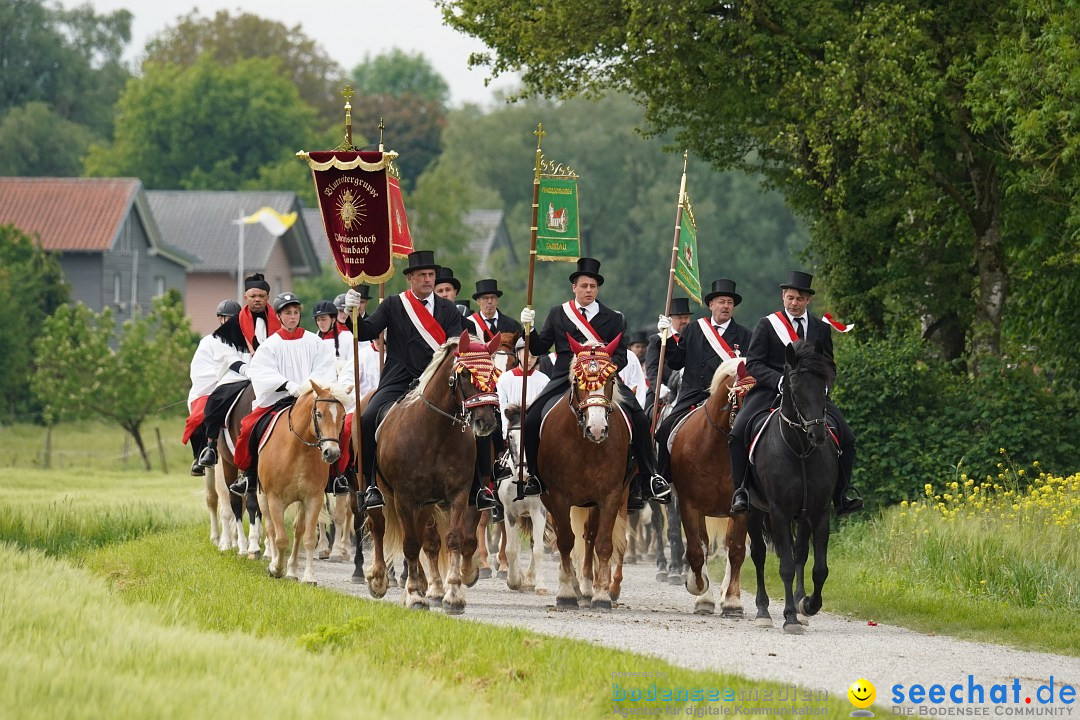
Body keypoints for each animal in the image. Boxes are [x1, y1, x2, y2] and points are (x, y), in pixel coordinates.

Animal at [253, 379, 345, 582]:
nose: (332, 453)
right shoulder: (275, 498)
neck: (298, 451)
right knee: (271, 528)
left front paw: (308, 576)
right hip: (263, 497)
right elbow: (280, 538)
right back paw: (272, 561)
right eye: (319, 414)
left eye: (343, 417)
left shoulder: (312, 498)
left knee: (298, 530)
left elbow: (308, 538)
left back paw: (293, 570)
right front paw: (276, 568)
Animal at [360, 332, 498, 613]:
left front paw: (454, 593)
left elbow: (454, 539)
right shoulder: (404, 497)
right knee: (378, 527)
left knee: (427, 538)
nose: (487, 422)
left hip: (425, 504)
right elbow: (410, 544)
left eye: (493, 373)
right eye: (465, 374)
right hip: (381, 494)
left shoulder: (458, 494)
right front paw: (414, 595)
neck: (436, 432)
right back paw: (379, 579)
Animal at [537, 334, 630, 613]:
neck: (586, 446)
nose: (597, 429)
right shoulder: (557, 496)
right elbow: (566, 541)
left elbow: (603, 542)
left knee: (589, 536)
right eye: (579, 381)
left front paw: (600, 595)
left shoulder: (610, 495)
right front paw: (566, 592)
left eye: (611, 380)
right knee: (566, 536)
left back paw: (588, 588)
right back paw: (576, 586)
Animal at [665, 354, 751, 613]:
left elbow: (736, 550)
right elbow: (696, 549)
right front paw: (699, 591)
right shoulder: (690, 506)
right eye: (743, 396)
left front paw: (732, 601)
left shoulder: (741, 509)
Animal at [747, 341, 838, 634]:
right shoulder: (778, 513)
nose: (818, 435)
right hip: (752, 511)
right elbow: (785, 566)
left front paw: (808, 605)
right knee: (759, 555)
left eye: (823, 387)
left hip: (802, 516)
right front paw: (789, 617)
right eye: (795, 389)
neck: (799, 450)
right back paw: (763, 611)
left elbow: (819, 568)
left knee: (800, 554)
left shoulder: (819, 512)